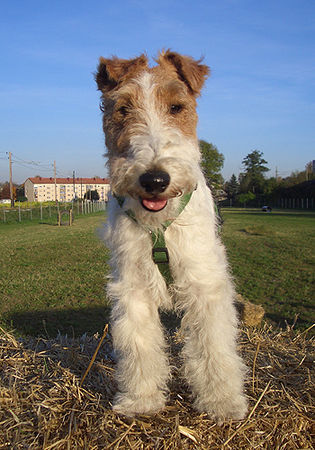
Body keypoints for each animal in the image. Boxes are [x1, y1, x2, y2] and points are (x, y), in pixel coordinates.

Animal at [95, 51, 248, 420]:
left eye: (177, 107)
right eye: (123, 109)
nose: (154, 179)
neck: (159, 226)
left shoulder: (204, 282)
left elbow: (213, 345)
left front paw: (222, 401)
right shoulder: (133, 285)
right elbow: (139, 345)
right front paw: (140, 399)